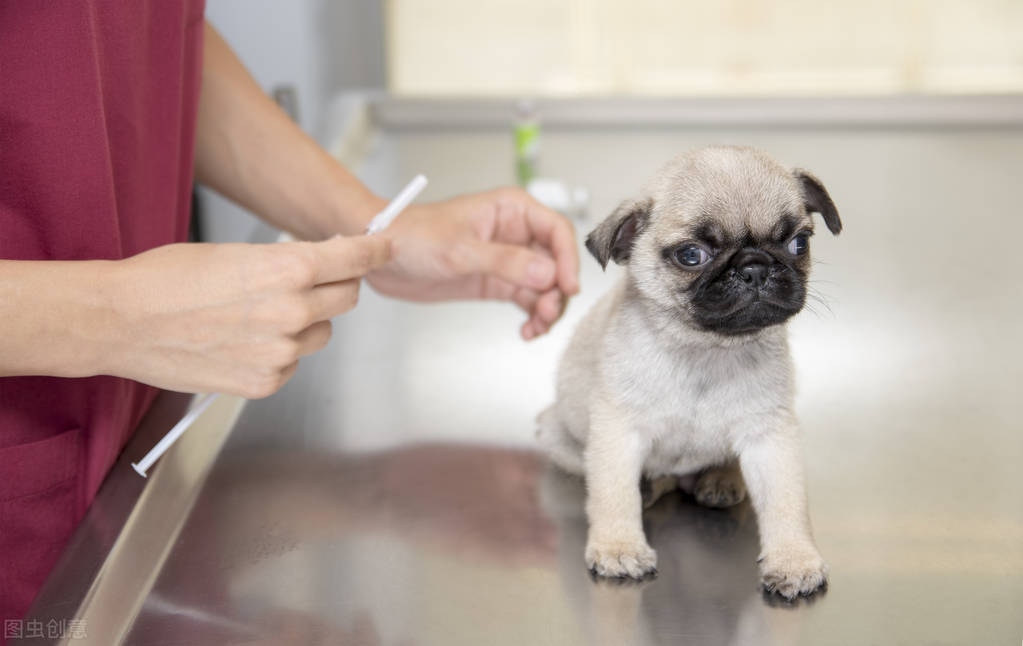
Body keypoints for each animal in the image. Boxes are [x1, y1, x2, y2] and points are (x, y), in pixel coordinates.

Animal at [536, 146, 838, 601]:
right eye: (691, 255)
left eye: (798, 242)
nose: (755, 267)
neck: (705, 349)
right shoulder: (618, 430)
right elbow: (613, 492)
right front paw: (619, 547)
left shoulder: (771, 437)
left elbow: (786, 501)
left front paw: (793, 560)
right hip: (555, 432)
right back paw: (650, 487)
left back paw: (720, 478)